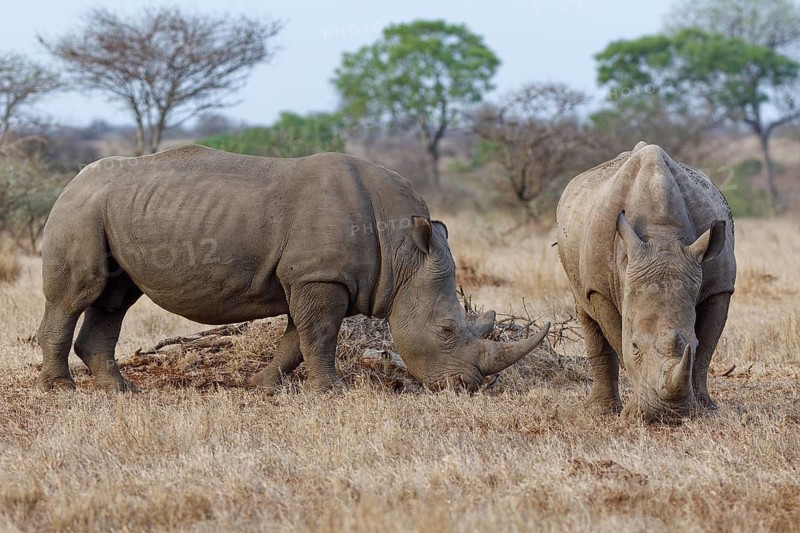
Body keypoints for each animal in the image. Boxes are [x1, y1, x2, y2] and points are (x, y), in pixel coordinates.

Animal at [37, 145, 549, 393]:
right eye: (445, 330)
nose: (466, 388)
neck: (405, 251)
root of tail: (71, 180)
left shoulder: (310, 276)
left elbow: (295, 340)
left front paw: (260, 386)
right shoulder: (319, 276)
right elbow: (319, 335)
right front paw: (335, 392)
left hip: (111, 210)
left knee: (115, 298)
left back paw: (121, 392)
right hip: (80, 210)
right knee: (79, 294)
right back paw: (62, 390)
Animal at [556, 142, 735, 422]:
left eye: (692, 344)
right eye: (635, 345)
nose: (668, 414)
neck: (663, 233)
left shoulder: (720, 287)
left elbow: (707, 348)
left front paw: (705, 408)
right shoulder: (600, 289)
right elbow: (618, 340)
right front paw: (633, 412)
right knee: (584, 308)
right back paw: (600, 411)